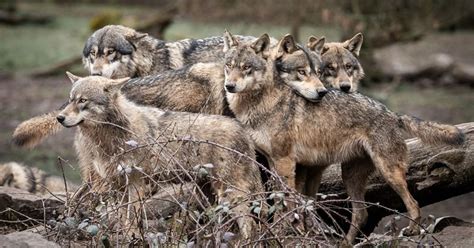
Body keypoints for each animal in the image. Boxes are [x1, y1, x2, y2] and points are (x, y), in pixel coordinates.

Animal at [57, 72, 264, 239]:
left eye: (82, 101)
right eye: (71, 99)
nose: (59, 118)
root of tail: (242, 130)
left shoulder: (136, 183)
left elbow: (132, 218)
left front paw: (132, 237)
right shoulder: (120, 186)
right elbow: (122, 218)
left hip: (229, 195)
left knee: (250, 225)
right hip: (209, 192)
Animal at [223, 31, 466, 244]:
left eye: (246, 68)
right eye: (229, 66)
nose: (229, 86)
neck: (261, 101)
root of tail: (392, 113)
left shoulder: (286, 162)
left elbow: (289, 203)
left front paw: (286, 232)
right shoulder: (276, 162)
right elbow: (281, 200)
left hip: (388, 172)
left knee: (413, 203)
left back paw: (412, 231)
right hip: (350, 175)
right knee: (362, 213)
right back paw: (345, 243)